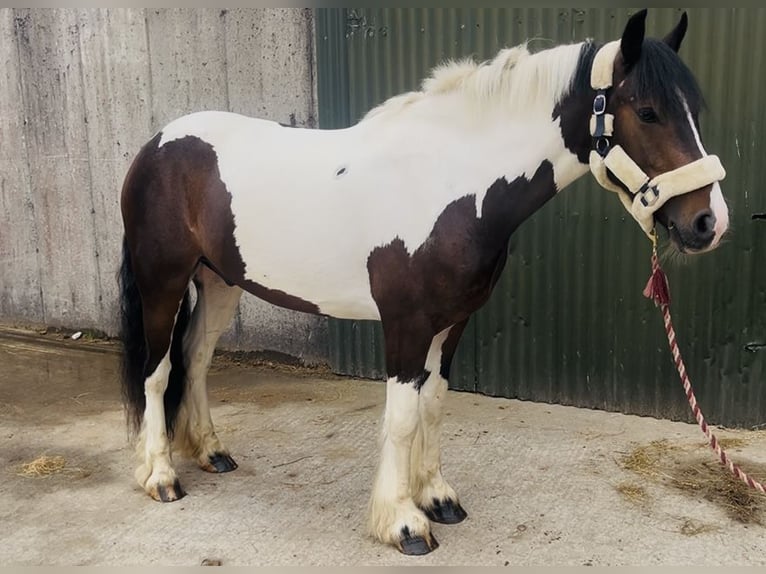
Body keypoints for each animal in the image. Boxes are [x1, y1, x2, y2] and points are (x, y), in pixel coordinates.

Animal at [118, 10, 728, 555]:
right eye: (647, 111)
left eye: (695, 110)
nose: (709, 223)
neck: (450, 184)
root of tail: (159, 142)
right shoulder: (406, 325)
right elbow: (402, 416)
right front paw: (402, 523)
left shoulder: (451, 322)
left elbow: (432, 404)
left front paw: (436, 497)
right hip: (163, 282)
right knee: (158, 370)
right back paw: (160, 476)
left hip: (220, 282)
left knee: (196, 358)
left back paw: (210, 452)